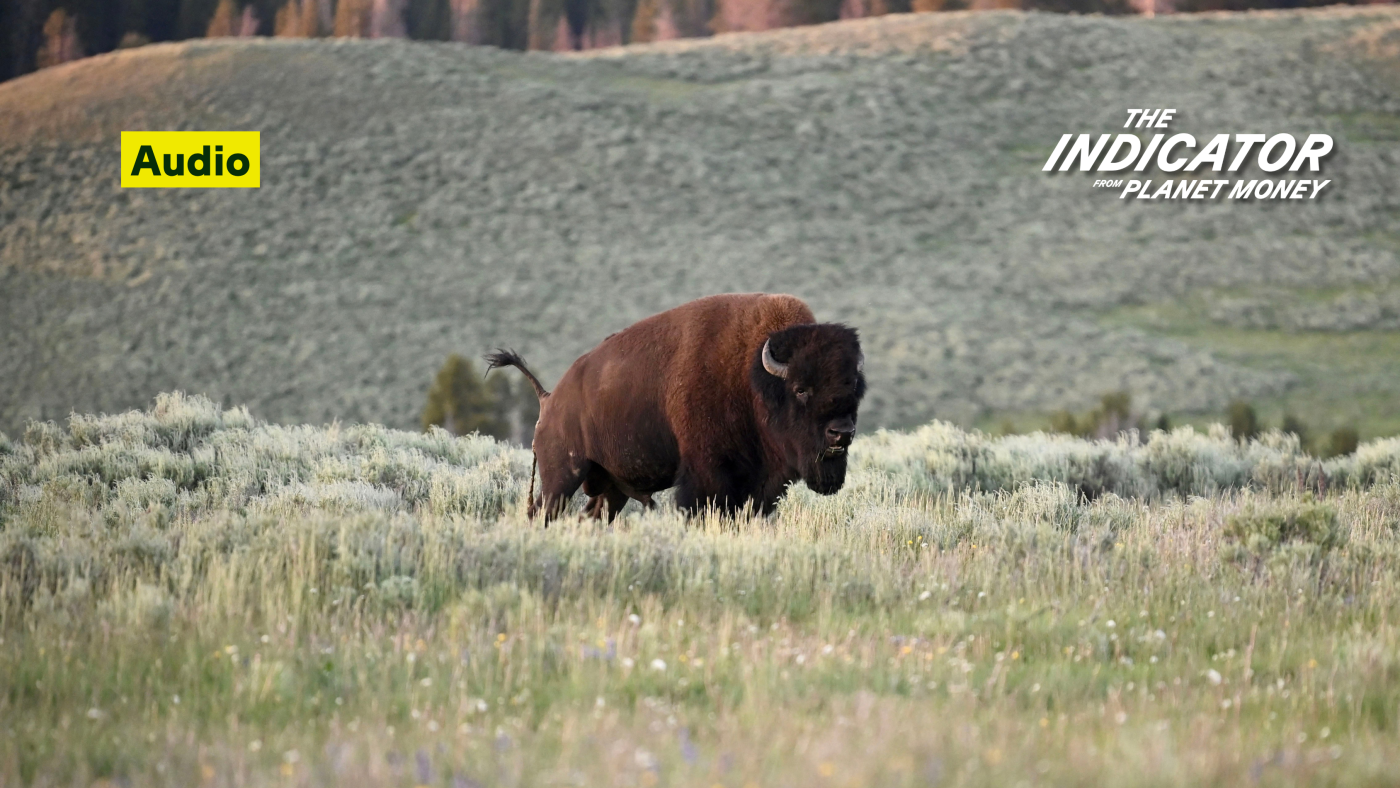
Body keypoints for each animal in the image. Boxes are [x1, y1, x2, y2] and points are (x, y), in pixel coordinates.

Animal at [486, 293, 866, 521]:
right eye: (801, 389)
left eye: (854, 388)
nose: (841, 433)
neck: (752, 376)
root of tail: (550, 399)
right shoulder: (706, 477)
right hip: (562, 476)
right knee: (543, 512)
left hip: (610, 487)